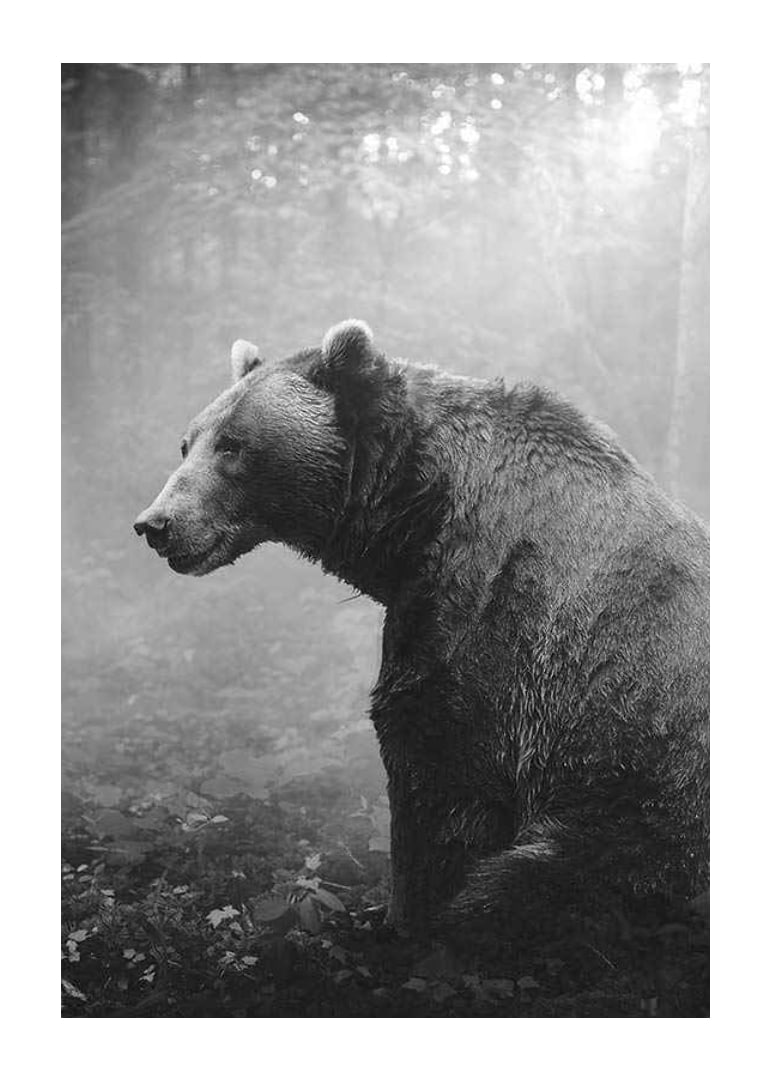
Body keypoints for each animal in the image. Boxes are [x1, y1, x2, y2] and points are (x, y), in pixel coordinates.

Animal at [135, 320, 709, 938]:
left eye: (233, 445)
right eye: (188, 442)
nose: (156, 524)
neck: (415, 515)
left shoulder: (493, 621)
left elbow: (439, 777)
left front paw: (402, 918)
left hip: (645, 815)